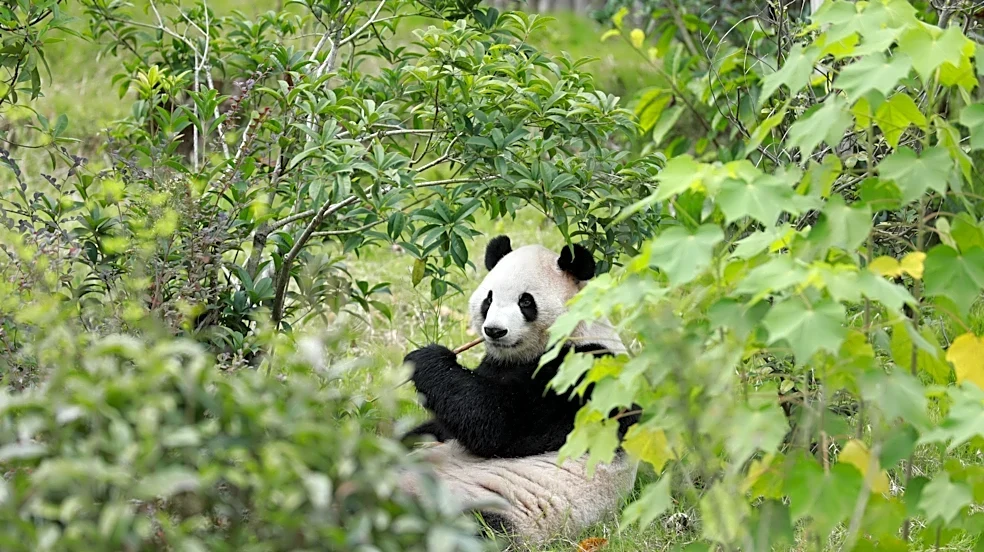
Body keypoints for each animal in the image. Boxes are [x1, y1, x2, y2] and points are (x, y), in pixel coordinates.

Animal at [398, 235, 641, 544]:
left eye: (526, 301)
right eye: (488, 299)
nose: (494, 331)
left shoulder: (583, 377)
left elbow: (498, 424)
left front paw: (427, 359)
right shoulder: (496, 364)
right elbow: (443, 423)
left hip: (485, 506)